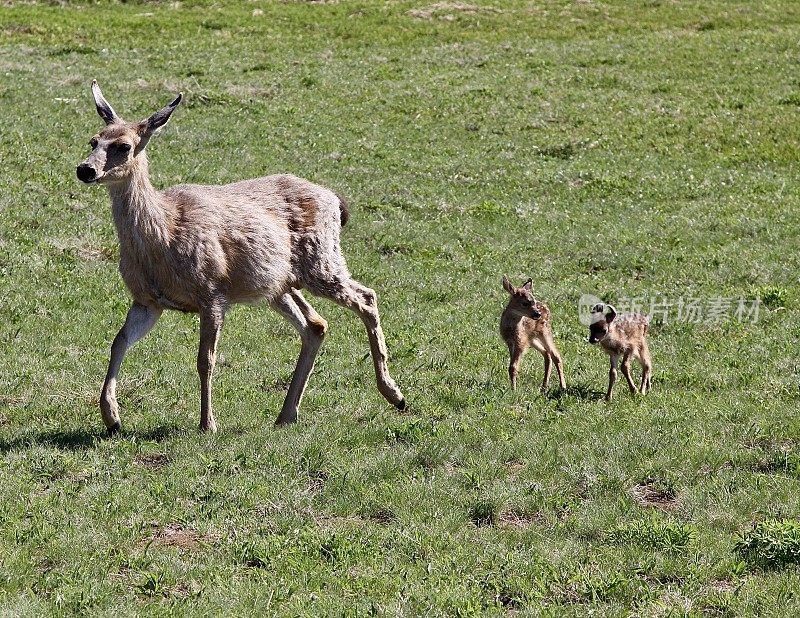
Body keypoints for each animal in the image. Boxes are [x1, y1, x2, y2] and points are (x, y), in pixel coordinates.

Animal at [76, 80, 406, 434]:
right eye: (93, 140)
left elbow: (205, 360)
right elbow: (119, 341)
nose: (85, 169)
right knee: (316, 325)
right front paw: (111, 416)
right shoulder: (148, 300)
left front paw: (208, 423)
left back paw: (394, 394)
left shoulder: (212, 291)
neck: (164, 234)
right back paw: (287, 414)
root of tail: (335, 200)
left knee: (366, 297)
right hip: (279, 284)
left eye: (123, 146)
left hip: (322, 259)